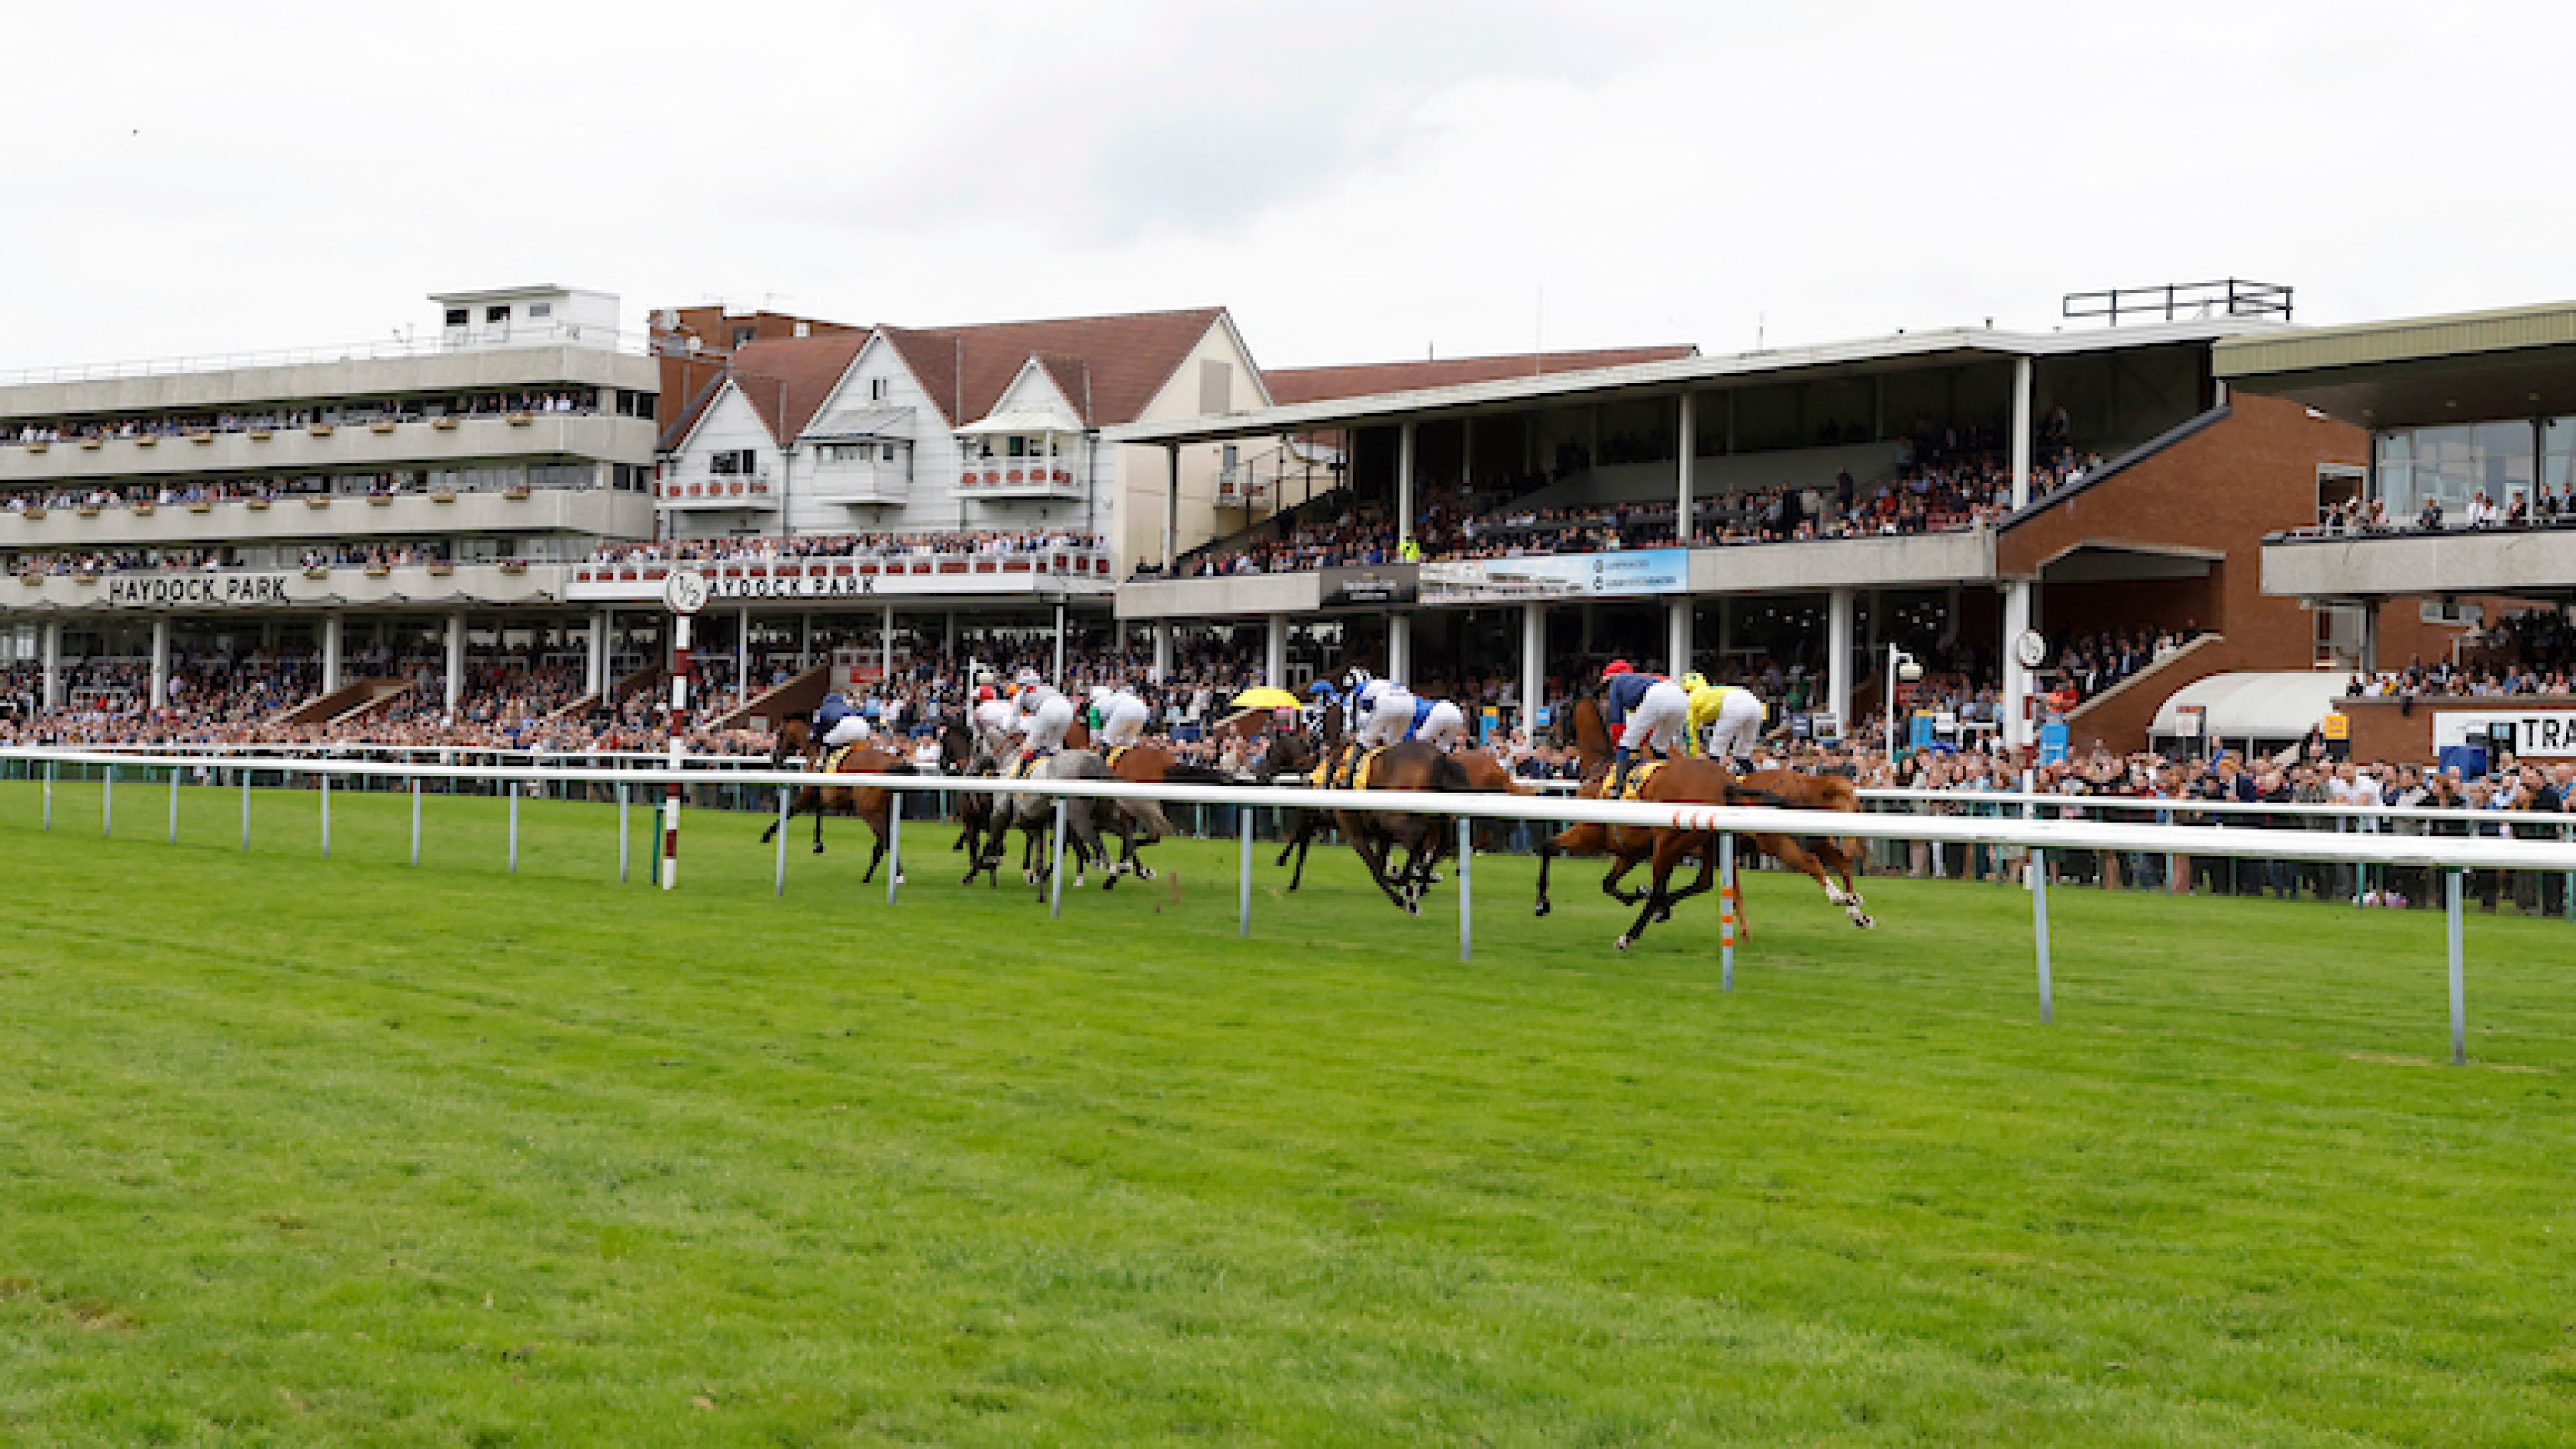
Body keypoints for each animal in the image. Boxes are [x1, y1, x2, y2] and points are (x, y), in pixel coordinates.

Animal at [757, 711, 912, 881]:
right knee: (885, 841)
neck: (815, 750)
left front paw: (766, 836)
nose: (774, 757)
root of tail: (893, 762)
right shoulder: (823, 796)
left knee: (885, 840)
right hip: (885, 809)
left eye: (779, 734)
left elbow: (789, 812)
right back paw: (876, 876)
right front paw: (817, 845)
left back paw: (889, 876)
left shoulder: (808, 795)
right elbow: (818, 813)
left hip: (868, 810)